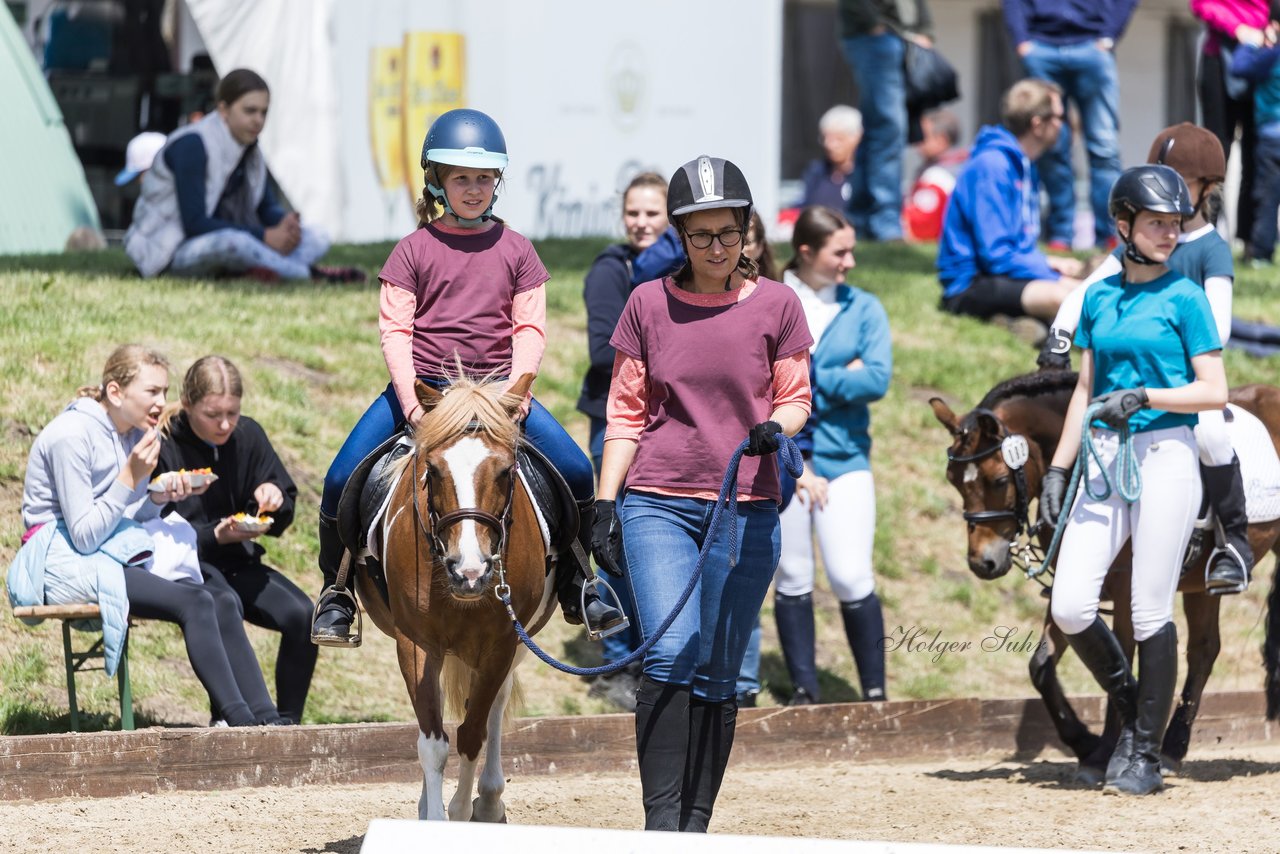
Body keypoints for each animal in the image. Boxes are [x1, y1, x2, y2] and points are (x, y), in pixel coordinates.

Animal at [360, 373, 560, 819]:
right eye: (432, 470)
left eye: (505, 471)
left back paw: (487, 800)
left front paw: (463, 809)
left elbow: (472, 733)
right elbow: (433, 743)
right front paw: (433, 815)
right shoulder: (415, 644)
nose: (469, 571)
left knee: (495, 707)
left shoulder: (502, 643)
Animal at [931, 371, 1280, 783]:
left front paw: (1110, 751)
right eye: (953, 479)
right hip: (1199, 585)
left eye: (999, 479)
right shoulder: (1072, 585)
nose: (982, 562)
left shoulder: (1127, 588)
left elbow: (1125, 657)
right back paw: (1173, 748)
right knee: (1204, 650)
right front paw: (1086, 744)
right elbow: (1043, 665)